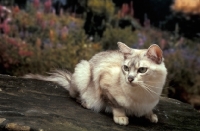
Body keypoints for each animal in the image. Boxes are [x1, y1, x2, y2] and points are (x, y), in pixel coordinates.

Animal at [24, 42, 167, 126]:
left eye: (142, 70)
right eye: (126, 68)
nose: (130, 78)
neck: (144, 94)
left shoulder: (151, 101)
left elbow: (148, 110)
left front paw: (151, 116)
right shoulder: (104, 85)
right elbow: (116, 106)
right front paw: (121, 118)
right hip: (83, 70)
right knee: (75, 96)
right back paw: (86, 103)